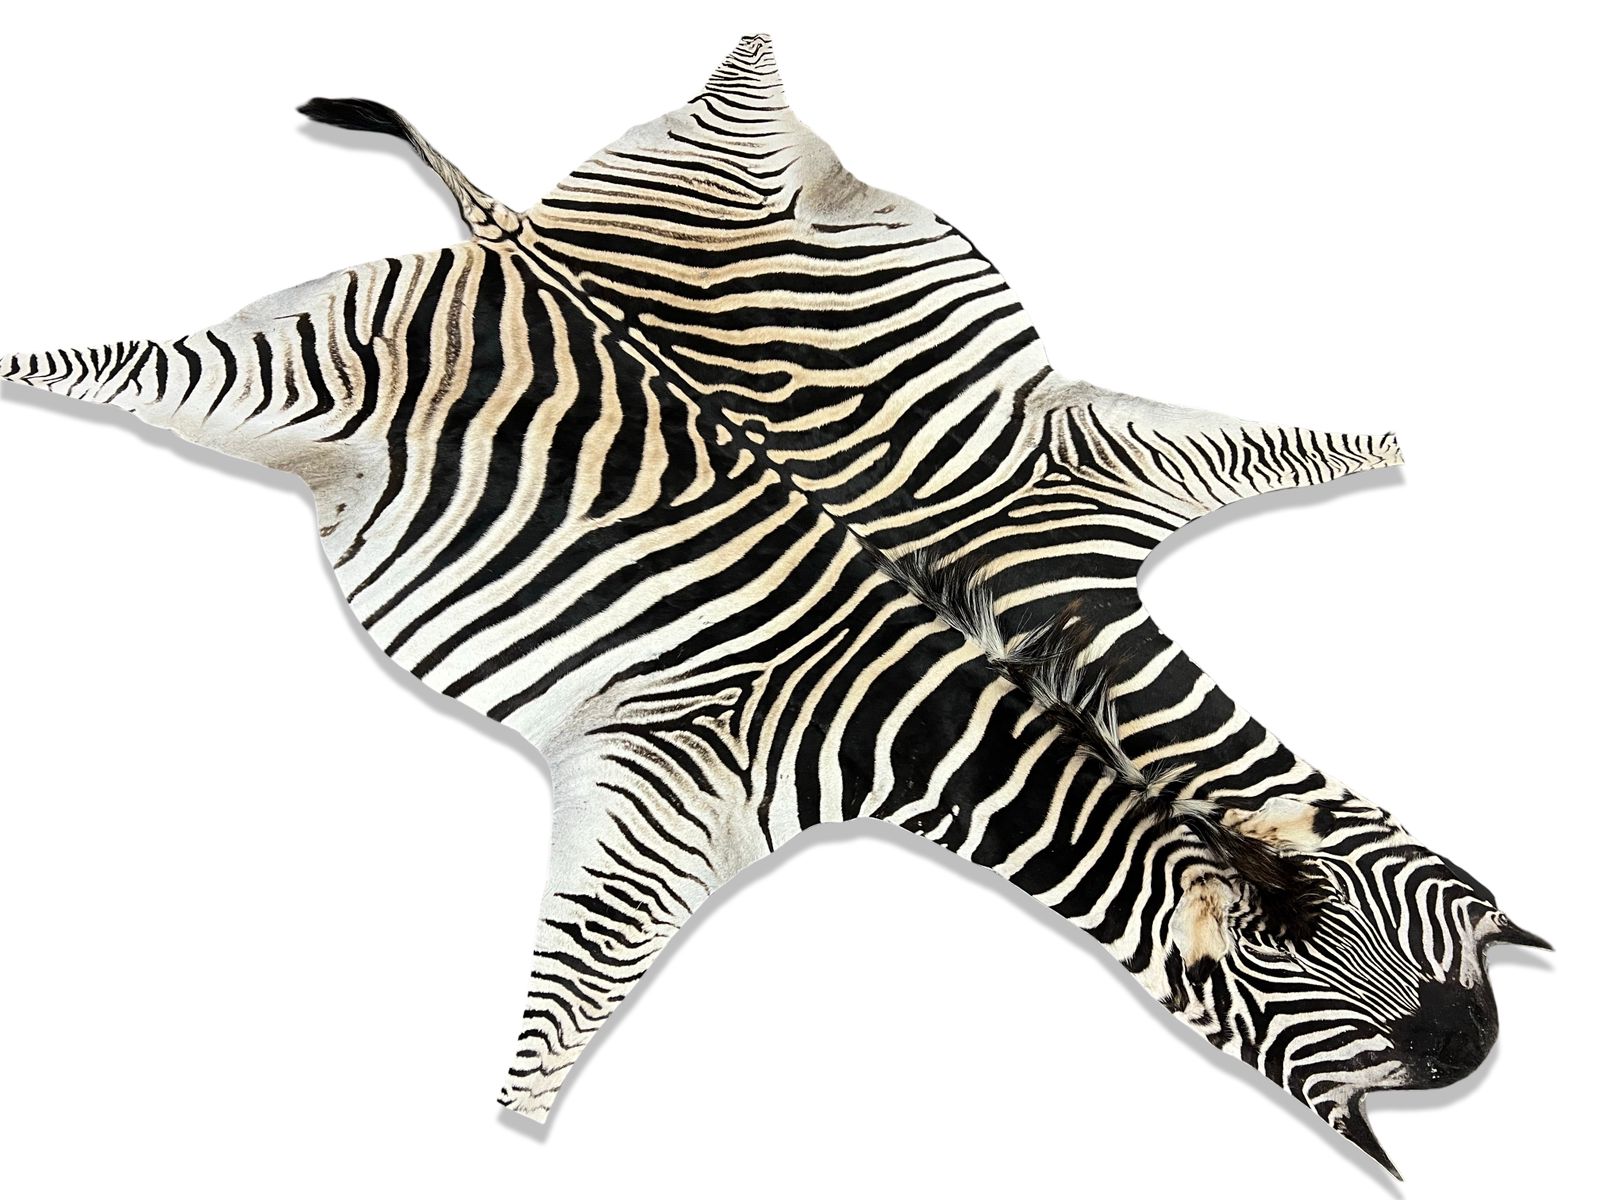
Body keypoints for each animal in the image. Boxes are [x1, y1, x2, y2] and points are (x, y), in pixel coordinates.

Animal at [0, 34, 1545, 1177]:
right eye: (1237, 984)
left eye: (1425, 963)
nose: (1472, 1054)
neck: (983, 676)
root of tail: (517, 238)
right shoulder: (689, 765)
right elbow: (579, 978)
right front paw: (523, 1110)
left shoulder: (1058, 479)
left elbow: (1262, 455)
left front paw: (1375, 452)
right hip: (278, 382)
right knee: (142, 366)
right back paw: (38, 365)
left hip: (734, 186)